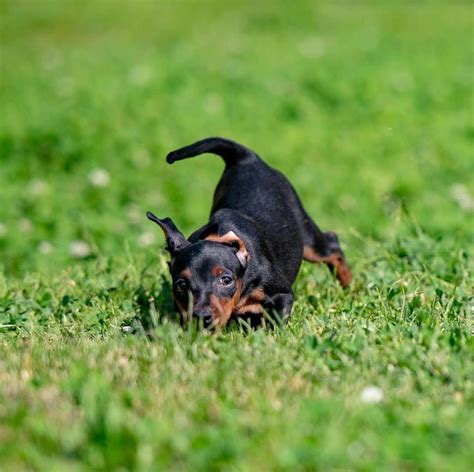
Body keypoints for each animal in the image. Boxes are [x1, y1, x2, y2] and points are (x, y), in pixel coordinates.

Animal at [148, 136, 352, 328]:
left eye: (226, 280)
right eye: (181, 285)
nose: (202, 318)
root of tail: (246, 157)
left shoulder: (282, 294)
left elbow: (275, 324)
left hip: (307, 237)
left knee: (332, 245)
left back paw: (350, 287)